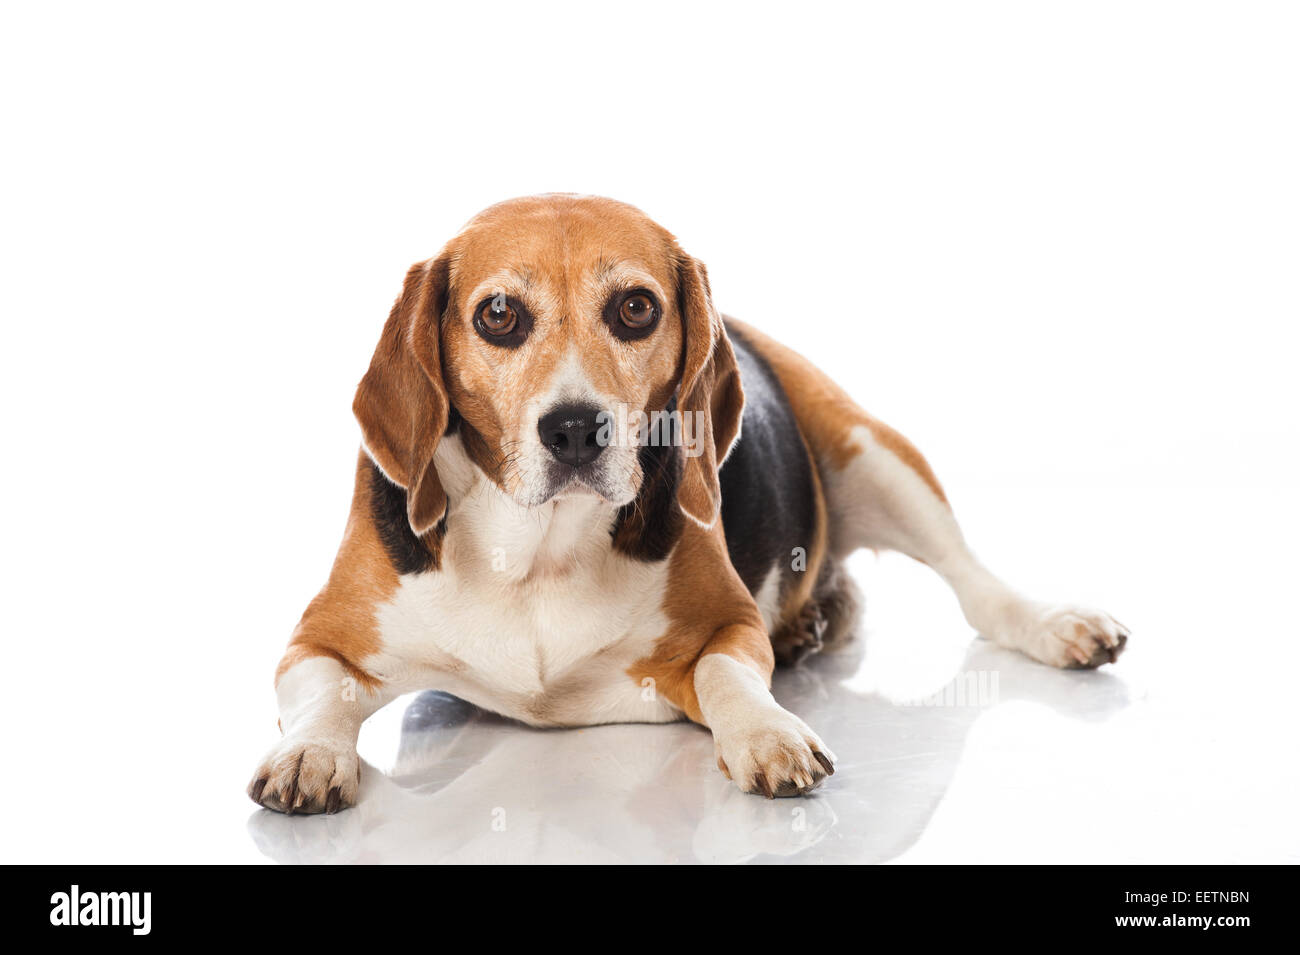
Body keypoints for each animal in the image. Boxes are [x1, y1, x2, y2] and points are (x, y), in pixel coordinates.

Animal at [245, 192, 1128, 815]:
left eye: (635, 307)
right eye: (498, 314)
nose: (575, 428)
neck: (538, 550)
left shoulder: (727, 624)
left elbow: (726, 673)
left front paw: (768, 732)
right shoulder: (313, 640)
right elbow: (324, 693)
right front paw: (309, 754)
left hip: (871, 451)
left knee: (976, 586)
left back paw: (1055, 623)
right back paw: (813, 619)